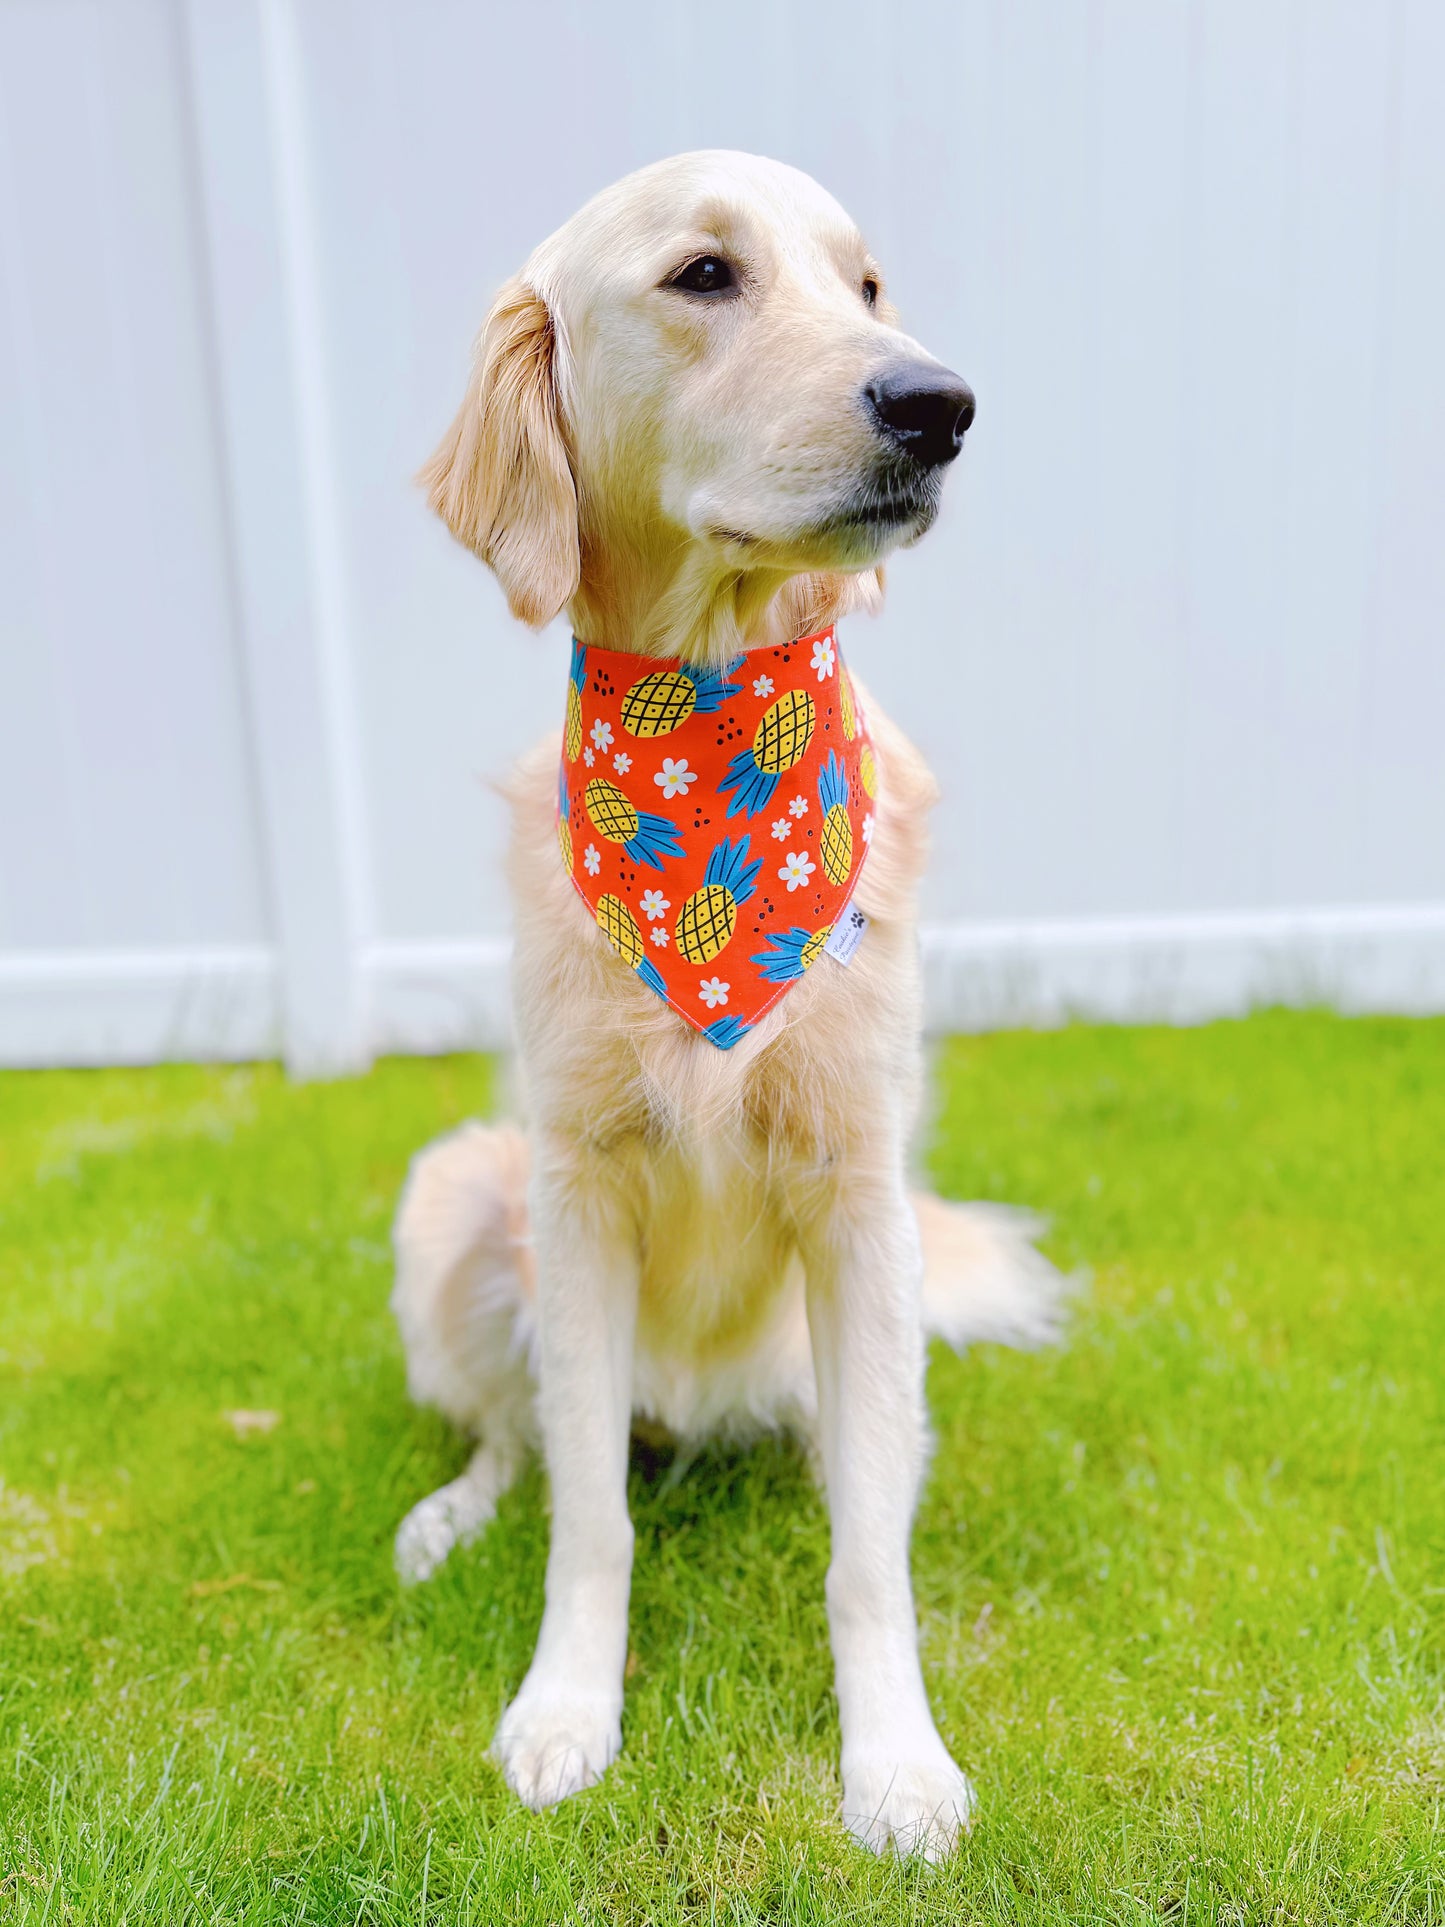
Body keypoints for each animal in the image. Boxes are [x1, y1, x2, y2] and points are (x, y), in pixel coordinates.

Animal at [391, 154, 1071, 1865]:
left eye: (867, 285)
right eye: (705, 274)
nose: (940, 403)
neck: (701, 726)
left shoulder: (857, 1196)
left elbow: (868, 1557)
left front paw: (894, 1762)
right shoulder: (573, 1195)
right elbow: (585, 1515)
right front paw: (564, 1709)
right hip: (459, 1205)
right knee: (515, 1434)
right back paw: (446, 1515)